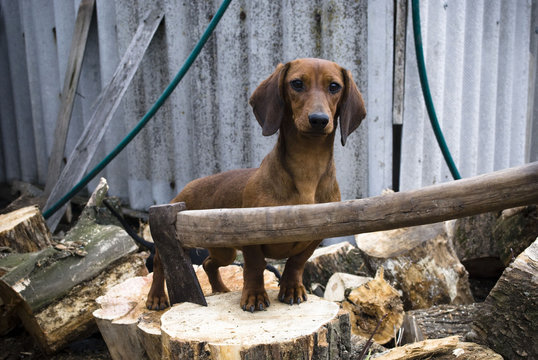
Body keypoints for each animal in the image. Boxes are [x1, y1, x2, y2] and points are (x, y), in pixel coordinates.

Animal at [146, 58, 364, 312]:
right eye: (297, 83)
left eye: (334, 86)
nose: (319, 120)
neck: (307, 170)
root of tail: (184, 190)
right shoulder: (250, 237)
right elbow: (255, 266)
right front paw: (255, 295)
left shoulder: (315, 238)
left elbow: (296, 263)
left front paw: (291, 288)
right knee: (159, 263)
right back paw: (156, 297)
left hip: (224, 251)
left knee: (209, 263)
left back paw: (220, 289)